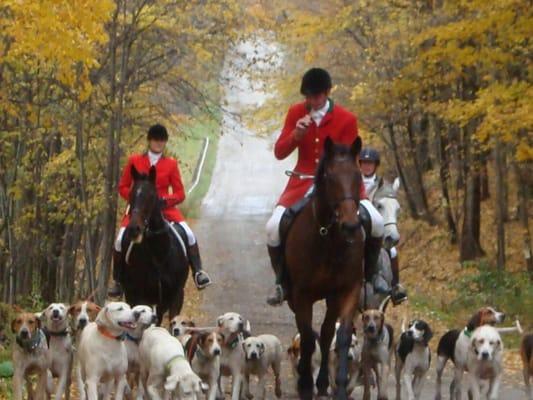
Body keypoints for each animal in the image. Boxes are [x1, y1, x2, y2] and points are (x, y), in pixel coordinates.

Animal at [120, 166, 189, 324]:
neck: (159, 254)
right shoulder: (141, 297)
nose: (134, 229)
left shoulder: (176, 296)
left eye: (151, 196)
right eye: (131, 194)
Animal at [284, 136, 364, 398]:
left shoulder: (348, 290)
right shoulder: (302, 294)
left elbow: (342, 336)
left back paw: (322, 383)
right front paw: (305, 384)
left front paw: (339, 387)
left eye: (358, 174)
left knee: (328, 332)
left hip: (332, 298)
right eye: (329, 176)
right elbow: (308, 339)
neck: (329, 239)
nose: (350, 226)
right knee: (309, 334)